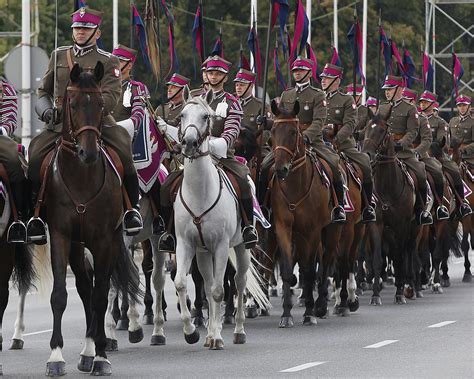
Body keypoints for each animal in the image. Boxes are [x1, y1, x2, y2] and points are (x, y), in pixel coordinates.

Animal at [39, 63, 141, 378]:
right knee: (83, 288)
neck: (81, 177)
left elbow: (101, 296)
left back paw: (95, 348)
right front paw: (55, 357)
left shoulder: (104, 240)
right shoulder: (61, 236)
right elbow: (61, 295)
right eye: (71, 104)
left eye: (99, 105)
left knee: (97, 291)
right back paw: (85, 350)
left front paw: (101, 357)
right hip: (76, 246)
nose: (89, 152)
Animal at [171, 94, 252, 350]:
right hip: (203, 252)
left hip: (241, 247)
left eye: (206, 116)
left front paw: (217, 336)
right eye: (182, 115)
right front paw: (191, 332)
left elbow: (218, 291)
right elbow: (181, 283)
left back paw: (238, 331)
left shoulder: (221, 246)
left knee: (238, 281)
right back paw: (208, 334)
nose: (188, 143)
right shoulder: (185, 244)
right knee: (206, 284)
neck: (200, 192)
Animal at [268, 101, 338, 330]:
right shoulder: (283, 228)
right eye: (273, 131)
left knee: (325, 263)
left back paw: (321, 305)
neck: (295, 188)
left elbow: (308, 270)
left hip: (331, 230)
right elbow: (288, 269)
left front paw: (309, 313)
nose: (280, 169)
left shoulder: (313, 230)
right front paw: (286, 314)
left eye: (293, 131)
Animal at [362, 113, 422, 306]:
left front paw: (400, 293)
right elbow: (377, 259)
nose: (367, 154)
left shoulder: (401, 225)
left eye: (382, 130)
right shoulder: (377, 224)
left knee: (408, 251)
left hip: (415, 228)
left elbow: (400, 258)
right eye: (366, 128)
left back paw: (410, 286)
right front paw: (375, 295)